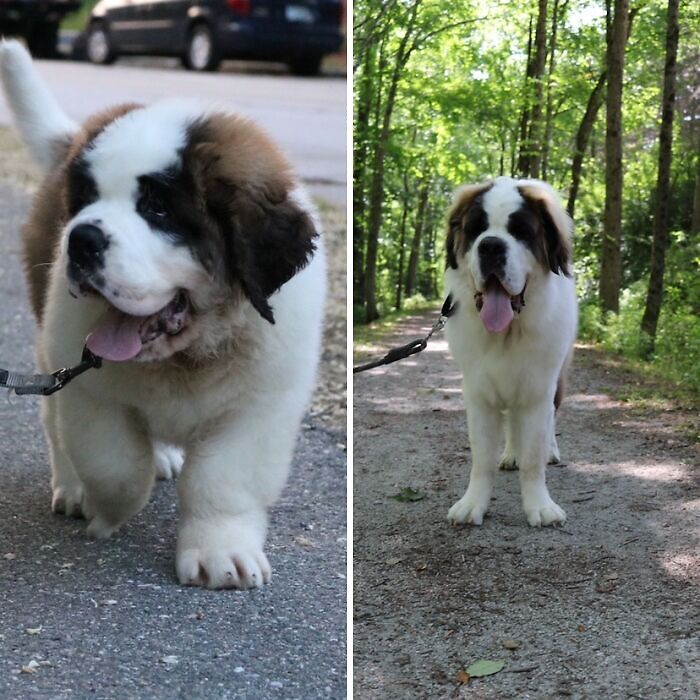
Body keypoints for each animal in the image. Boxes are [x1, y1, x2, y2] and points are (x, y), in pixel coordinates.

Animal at [0, 38, 326, 584]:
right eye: (87, 198)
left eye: (157, 208)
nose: (79, 241)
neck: (187, 355)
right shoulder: (86, 385)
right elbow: (113, 463)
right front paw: (107, 509)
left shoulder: (258, 406)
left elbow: (222, 480)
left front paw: (219, 552)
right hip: (50, 348)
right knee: (53, 420)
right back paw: (72, 487)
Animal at [446, 178, 576, 528]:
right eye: (476, 229)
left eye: (520, 231)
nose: (491, 246)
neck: (507, 333)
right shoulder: (478, 393)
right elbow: (481, 457)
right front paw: (473, 504)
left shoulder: (537, 390)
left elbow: (533, 457)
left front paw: (540, 507)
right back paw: (510, 455)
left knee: (550, 420)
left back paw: (550, 450)